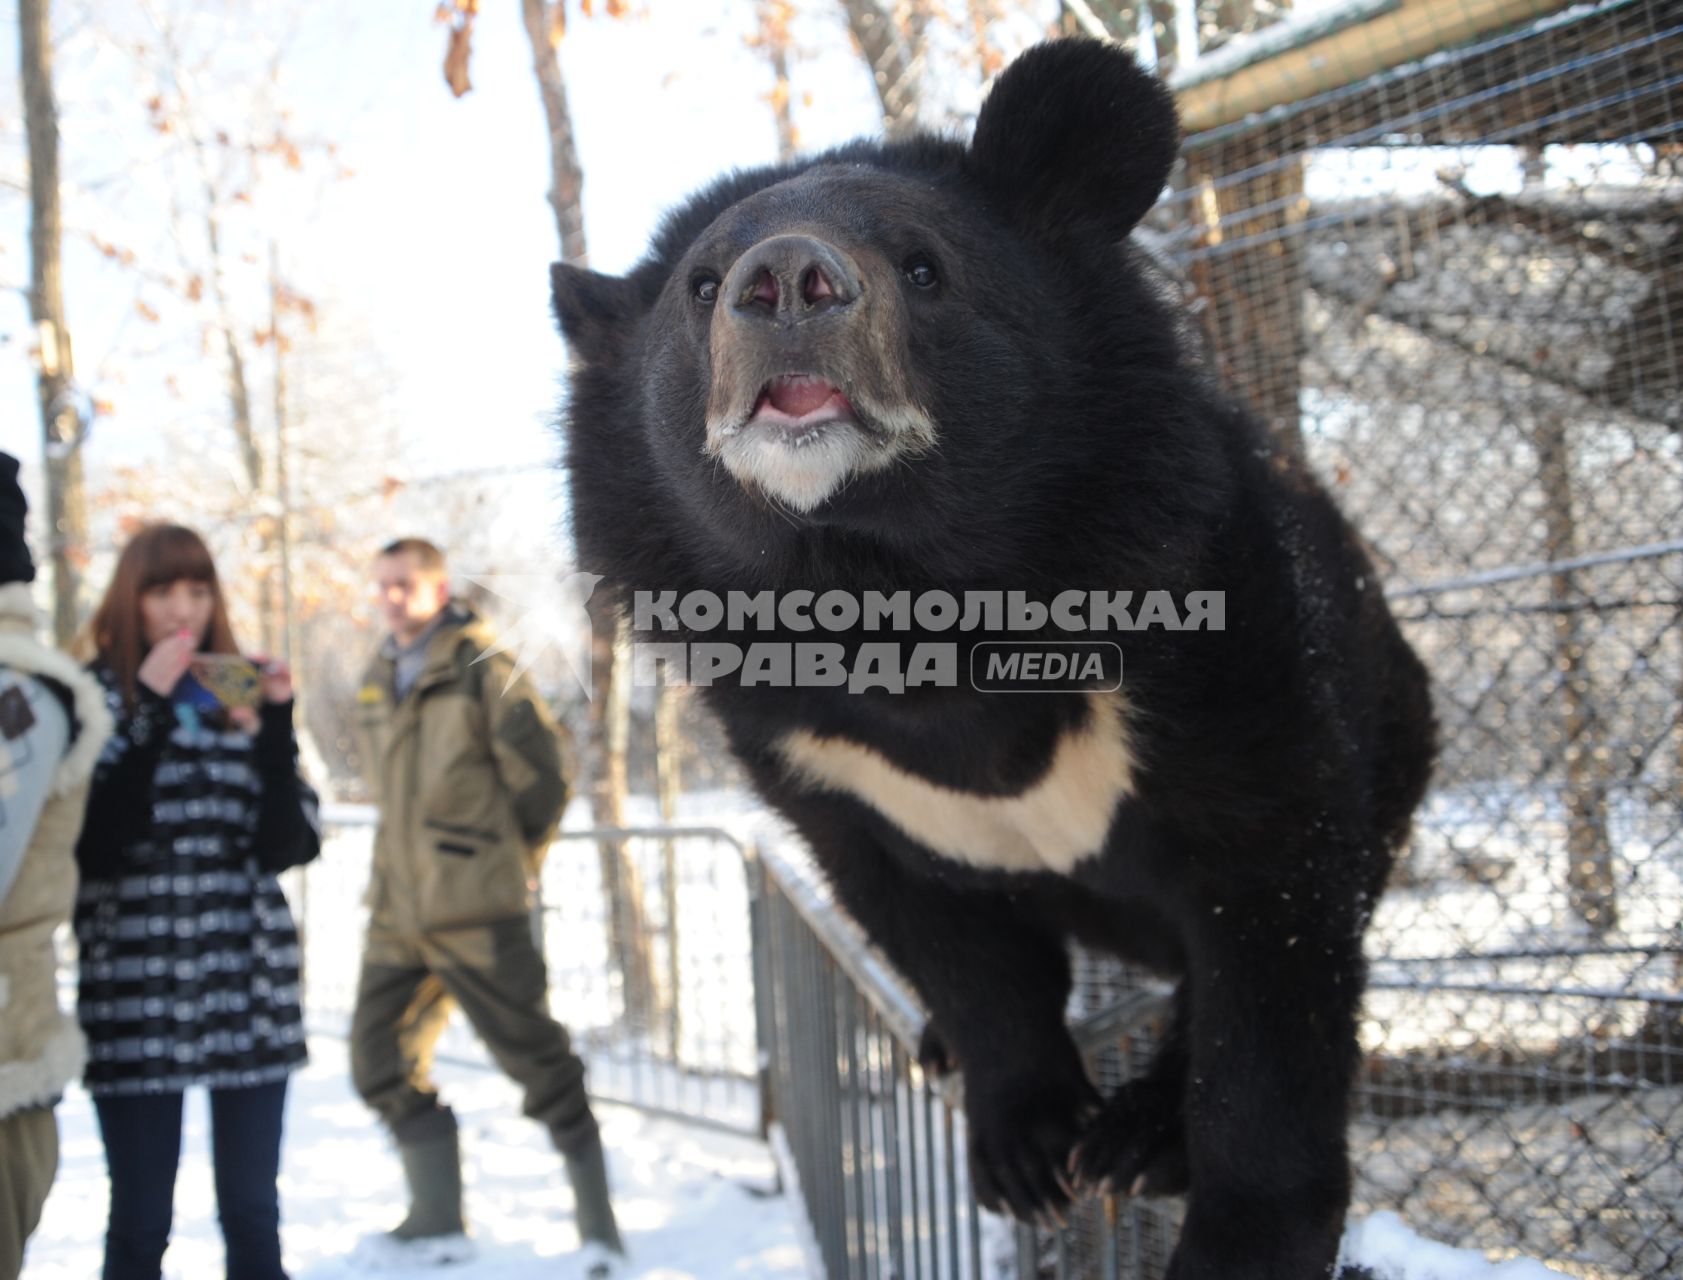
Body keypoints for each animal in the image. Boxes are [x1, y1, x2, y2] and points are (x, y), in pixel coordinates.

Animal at [548, 39, 1433, 1278]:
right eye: (704, 287)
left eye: (924, 267)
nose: (788, 279)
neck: (891, 592)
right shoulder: (814, 757)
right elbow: (943, 935)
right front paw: (1027, 1150)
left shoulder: (1221, 641)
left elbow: (1274, 925)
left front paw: (1232, 1228)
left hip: (1393, 729)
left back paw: (1144, 1132)